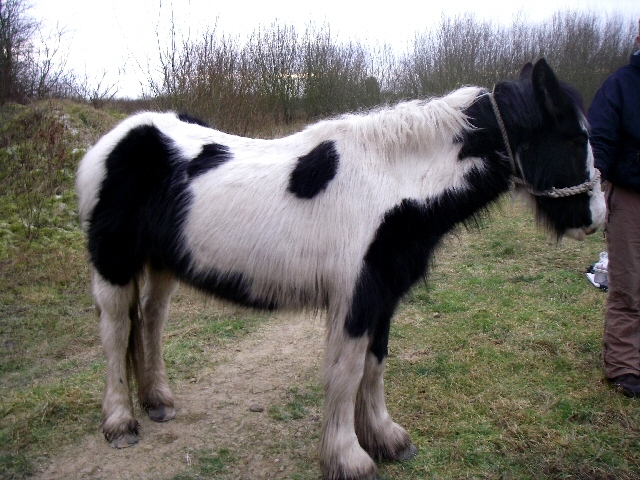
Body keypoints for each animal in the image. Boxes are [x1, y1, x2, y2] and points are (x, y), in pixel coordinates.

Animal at [75, 60, 604, 480]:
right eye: (576, 137)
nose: (595, 218)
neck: (392, 184)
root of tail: (118, 139)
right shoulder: (356, 296)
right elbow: (346, 373)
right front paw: (348, 459)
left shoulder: (382, 295)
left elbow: (375, 365)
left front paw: (386, 439)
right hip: (113, 263)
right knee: (116, 330)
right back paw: (120, 422)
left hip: (163, 263)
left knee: (152, 320)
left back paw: (158, 400)